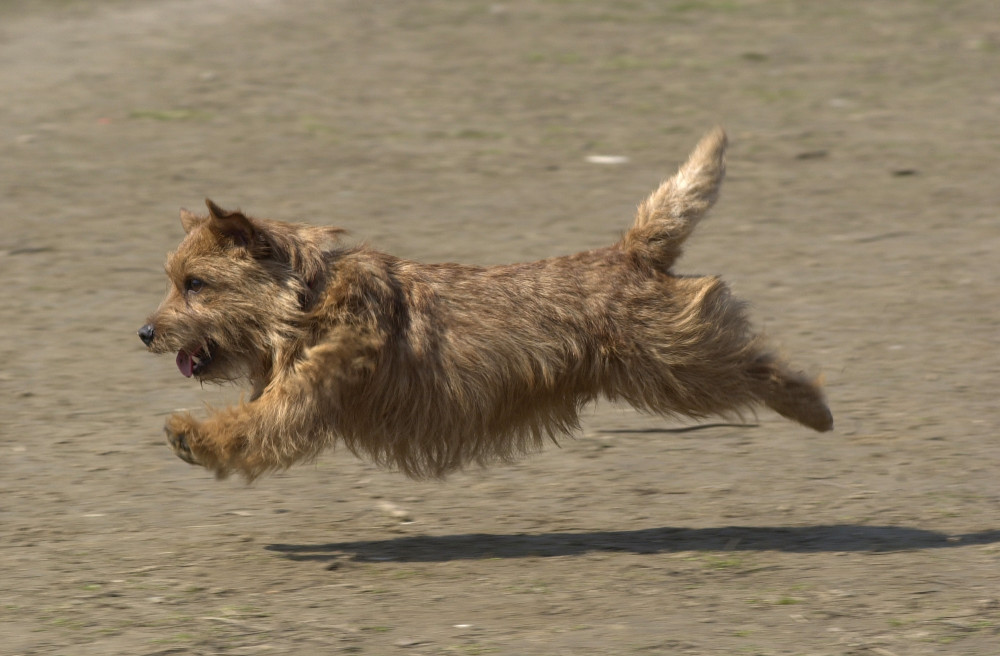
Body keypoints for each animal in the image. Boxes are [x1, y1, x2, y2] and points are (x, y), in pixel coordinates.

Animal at [139, 128, 828, 480]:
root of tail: (631, 251)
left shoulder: (311, 389)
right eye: (173, 281)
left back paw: (813, 407)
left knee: (756, 364)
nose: (144, 332)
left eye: (194, 284)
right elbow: (256, 417)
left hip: (677, 363)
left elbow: (253, 423)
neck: (307, 300)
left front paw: (194, 436)